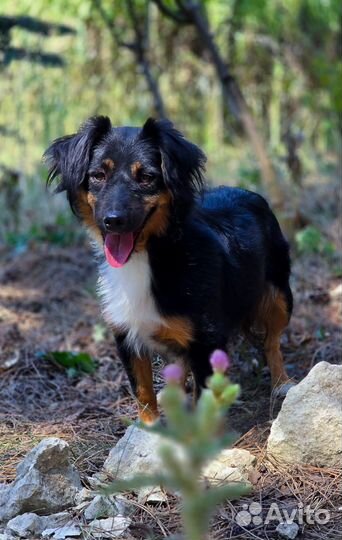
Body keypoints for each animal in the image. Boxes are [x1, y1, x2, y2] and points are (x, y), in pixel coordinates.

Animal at [44, 116, 292, 424]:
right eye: (98, 175)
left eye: (147, 177)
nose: (113, 220)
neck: (148, 255)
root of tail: (249, 192)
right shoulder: (126, 335)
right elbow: (143, 392)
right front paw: (148, 428)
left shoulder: (206, 341)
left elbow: (203, 402)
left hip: (279, 297)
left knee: (272, 342)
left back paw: (282, 383)